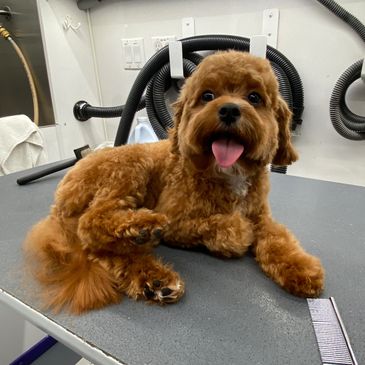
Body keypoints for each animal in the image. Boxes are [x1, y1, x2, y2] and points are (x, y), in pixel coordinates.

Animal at [24, 50, 322, 312]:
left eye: (254, 97)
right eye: (208, 96)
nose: (228, 110)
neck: (227, 174)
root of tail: (59, 200)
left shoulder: (261, 216)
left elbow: (278, 239)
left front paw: (301, 268)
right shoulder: (176, 221)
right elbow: (222, 226)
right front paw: (239, 233)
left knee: (98, 248)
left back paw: (154, 280)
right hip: (130, 166)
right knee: (92, 221)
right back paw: (144, 227)